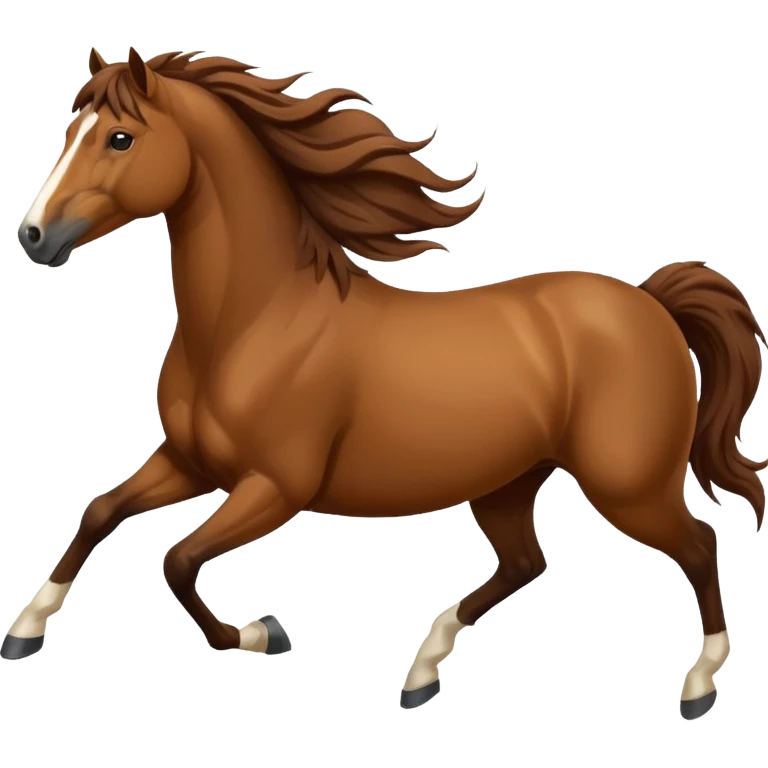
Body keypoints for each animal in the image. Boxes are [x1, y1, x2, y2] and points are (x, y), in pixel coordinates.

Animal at [10, 47, 766, 719]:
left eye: (119, 137)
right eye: (72, 131)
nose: (34, 236)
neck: (256, 320)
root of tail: (651, 303)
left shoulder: (275, 487)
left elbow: (178, 559)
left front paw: (261, 633)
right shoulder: (191, 461)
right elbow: (101, 512)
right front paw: (23, 629)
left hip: (628, 484)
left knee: (698, 545)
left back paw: (699, 686)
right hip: (507, 482)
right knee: (526, 562)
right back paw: (422, 671)